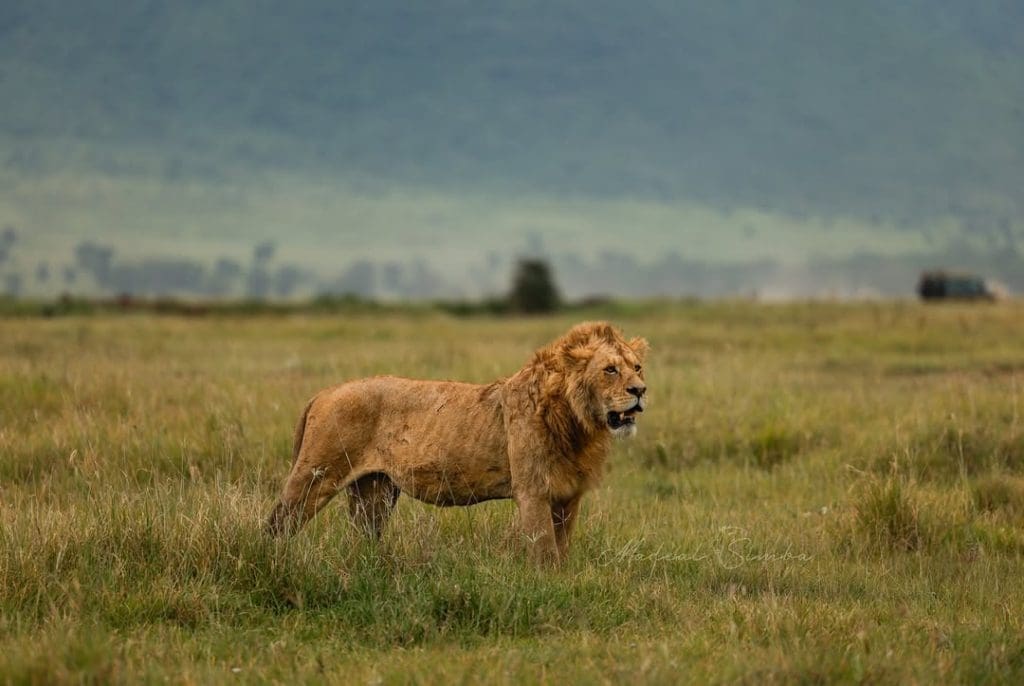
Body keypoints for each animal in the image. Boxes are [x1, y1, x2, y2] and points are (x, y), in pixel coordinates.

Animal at [265, 321, 648, 565]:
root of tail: (323, 393)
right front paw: (549, 590)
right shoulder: (533, 492)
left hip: (374, 491)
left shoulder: (568, 496)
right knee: (277, 524)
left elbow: (563, 549)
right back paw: (271, 562)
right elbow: (545, 552)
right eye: (610, 370)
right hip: (316, 476)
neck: (579, 424)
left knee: (362, 537)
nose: (641, 391)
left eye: (637, 367)